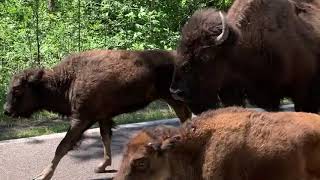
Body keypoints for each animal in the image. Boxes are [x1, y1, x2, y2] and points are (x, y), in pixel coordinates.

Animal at [3, 49, 192, 180]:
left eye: (18, 90)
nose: (6, 110)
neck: (70, 79)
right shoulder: (103, 117)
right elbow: (105, 137)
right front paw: (102, 166)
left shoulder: (81, 119)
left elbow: (63, 146)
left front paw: (43, 175)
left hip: (173, 98)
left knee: (185, 117)